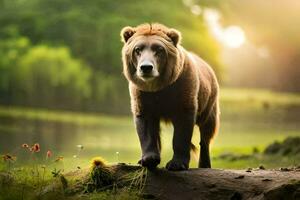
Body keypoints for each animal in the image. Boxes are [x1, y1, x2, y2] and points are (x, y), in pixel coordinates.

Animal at [120, 23, 220, 170]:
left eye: (159, 49)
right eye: (138, 49)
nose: (146, 67)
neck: (158, 87)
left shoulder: (183, 90)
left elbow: (182, 130)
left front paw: (177, 163)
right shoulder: (142, 96)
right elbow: (146, 127)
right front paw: (149, 159)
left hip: (209, 100)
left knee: (206, 130)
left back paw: (204, 164)